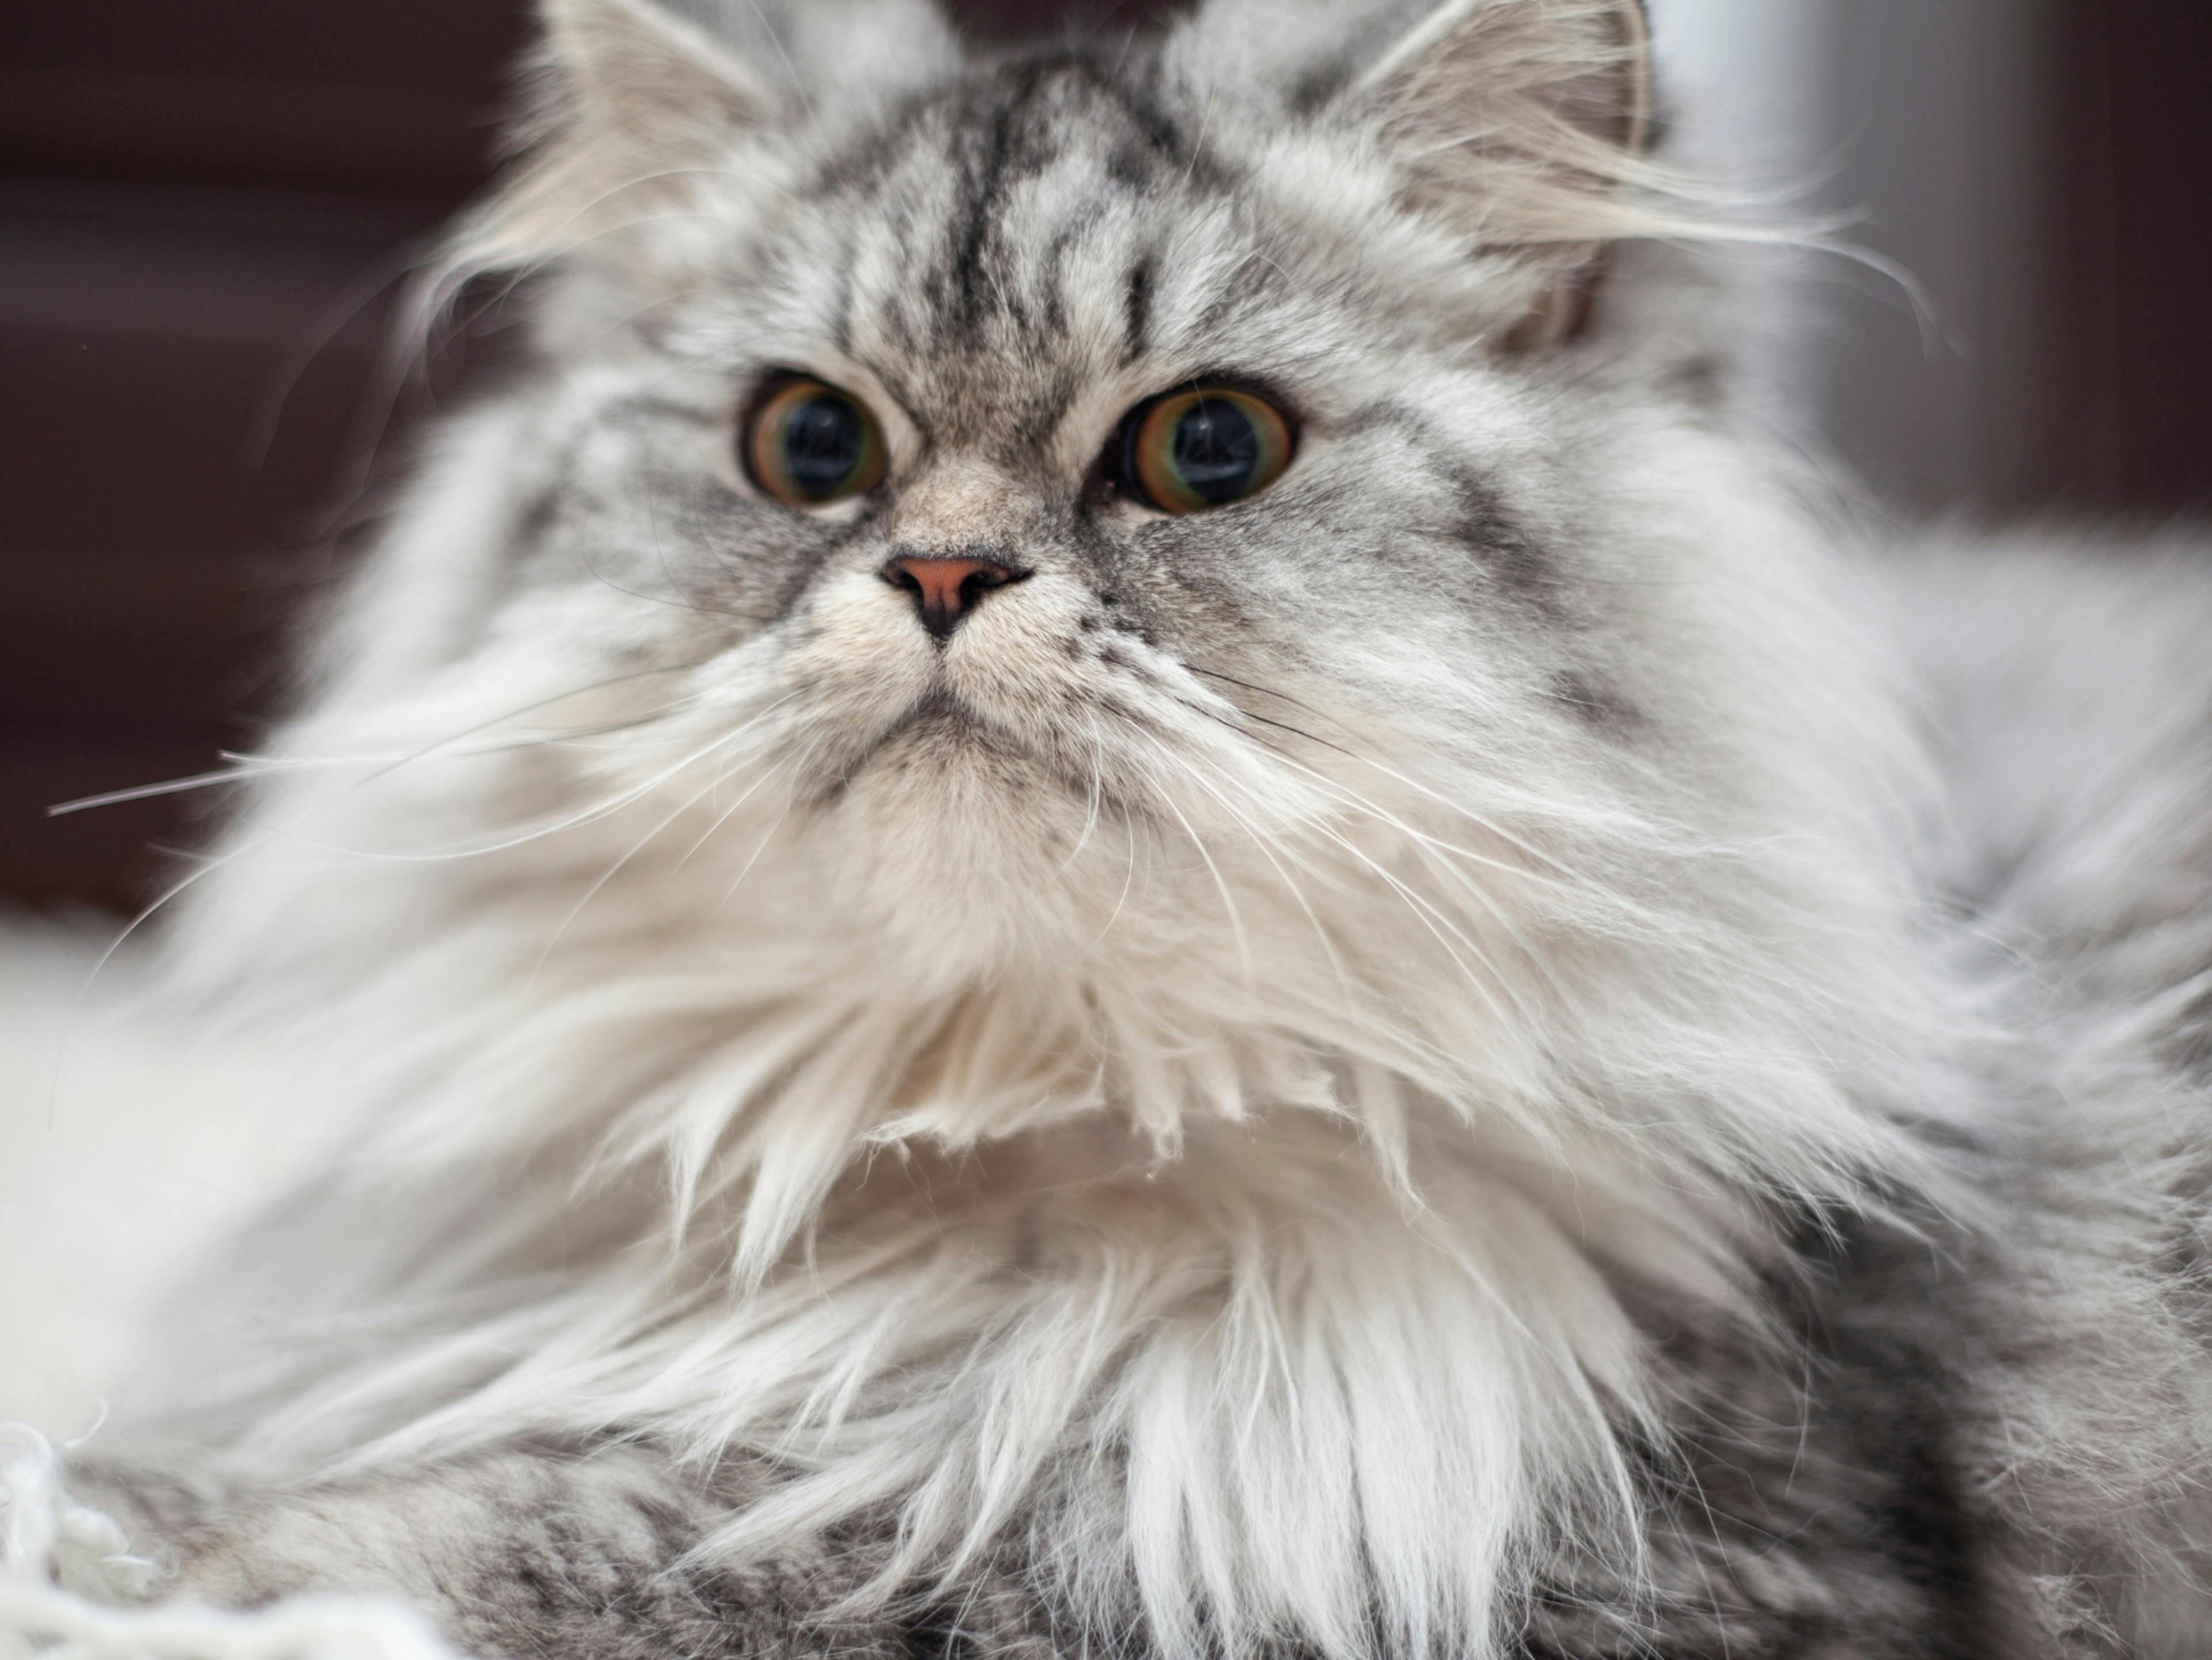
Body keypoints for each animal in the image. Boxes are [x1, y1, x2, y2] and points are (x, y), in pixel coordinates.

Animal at [4, 0, 2212, 1655]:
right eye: (810, 446)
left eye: (1206, 450)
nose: (945, 576)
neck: (1009, 1136)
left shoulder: (1573, 1550)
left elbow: (626, 1543)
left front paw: (151, 1558)